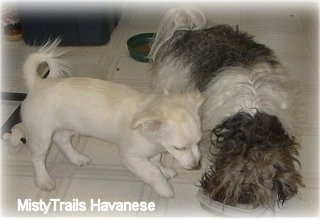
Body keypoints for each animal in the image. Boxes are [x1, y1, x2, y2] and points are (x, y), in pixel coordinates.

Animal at [21, 39, 204, 198]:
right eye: (179, 148)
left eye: (198, 143)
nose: (197, 165)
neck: (153, 141)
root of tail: (37, 84)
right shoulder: (132, 157)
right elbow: (153, 171)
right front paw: (164, 188)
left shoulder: (153, 150)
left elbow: (157, 162)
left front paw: (166, 170)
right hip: (41, 135)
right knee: (37, 157)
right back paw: (44, 180)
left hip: (68, 126)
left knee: (62, 140)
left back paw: (77, 158)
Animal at [150, 6, 304, 208]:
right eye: (246, 183)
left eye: (264, 181)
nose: (244, 201)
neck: (254, 125)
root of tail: (190, 29)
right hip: (174, 81)